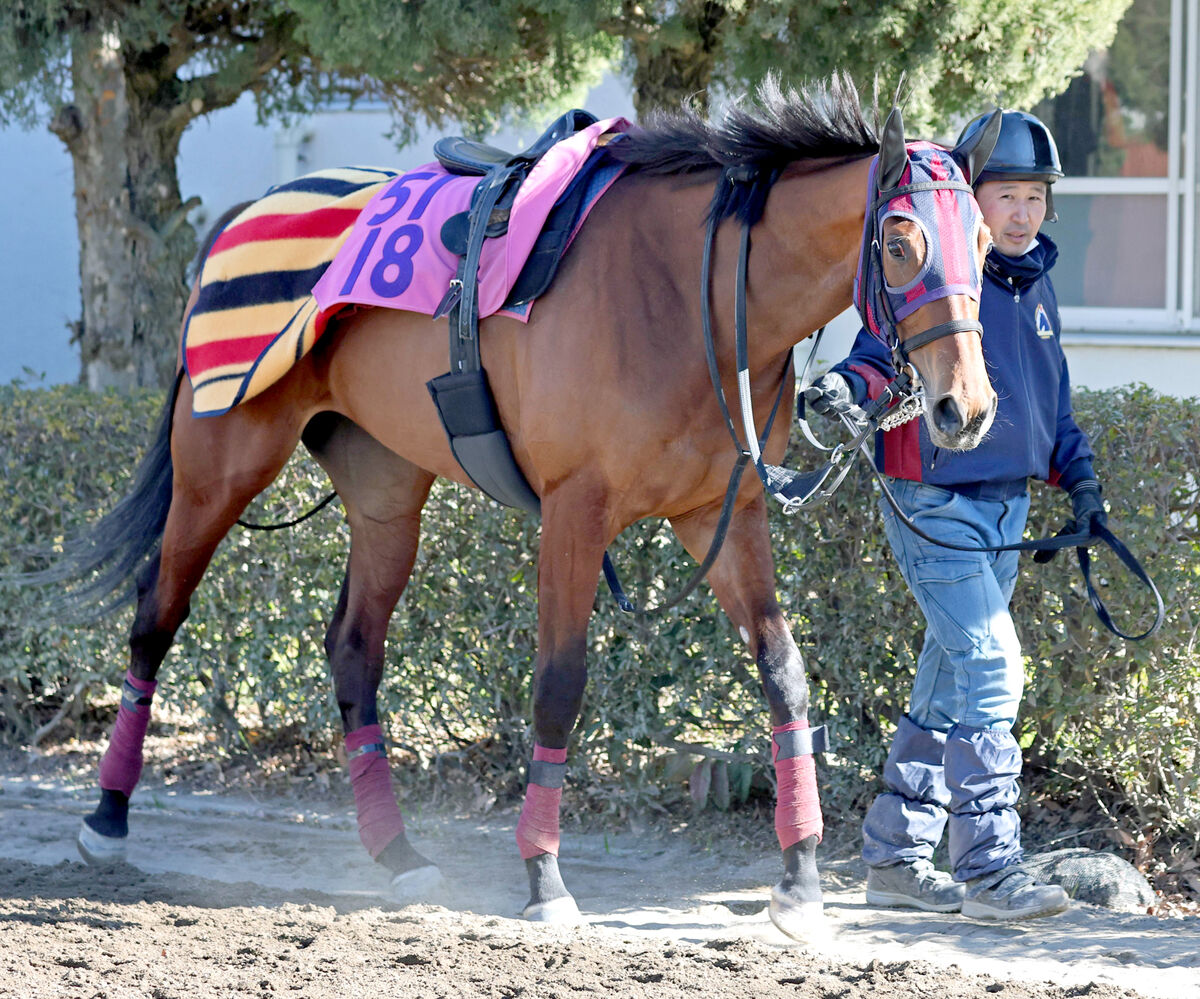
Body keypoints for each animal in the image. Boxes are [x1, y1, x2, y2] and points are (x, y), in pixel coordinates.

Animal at [37, 79, 998, 946]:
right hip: (219, 464)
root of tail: (249, 213)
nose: (967, 408)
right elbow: (559, 686)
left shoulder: (723, 511)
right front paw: (543, 879)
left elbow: (784, 673)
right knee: (156, 618)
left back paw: (396, 853)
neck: (688, 297)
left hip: (385, 488)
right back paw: (107, 816)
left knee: (353, 649)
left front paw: (798, 881)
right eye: (901, 241)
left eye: (988, 242)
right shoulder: (575, 511)